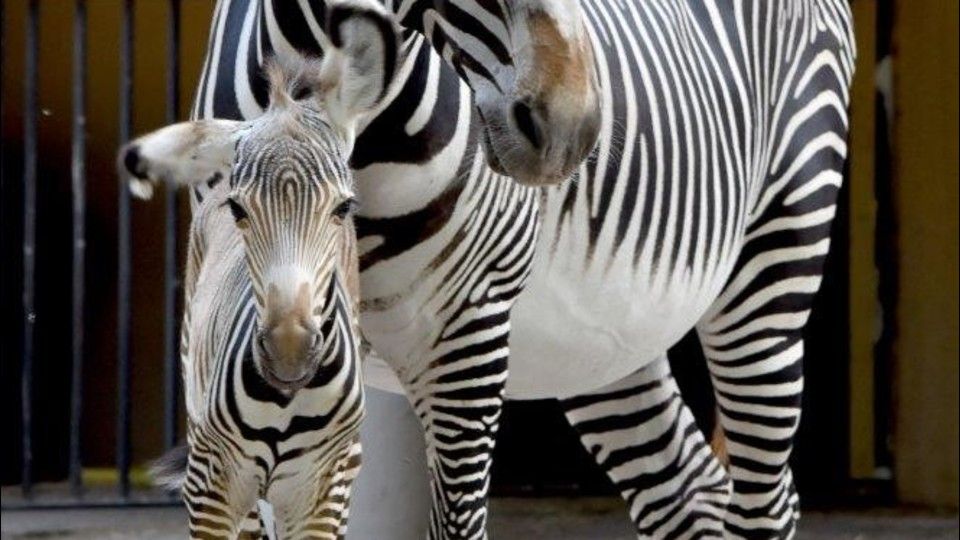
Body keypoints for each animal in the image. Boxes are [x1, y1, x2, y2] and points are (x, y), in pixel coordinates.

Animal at [171, 0, 856, 538]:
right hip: (601, 342)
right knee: (689, 494)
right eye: (236, 209)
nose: (575, 127)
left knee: (764, 503)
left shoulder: (467, 335)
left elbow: (456, 524)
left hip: (775, 263)